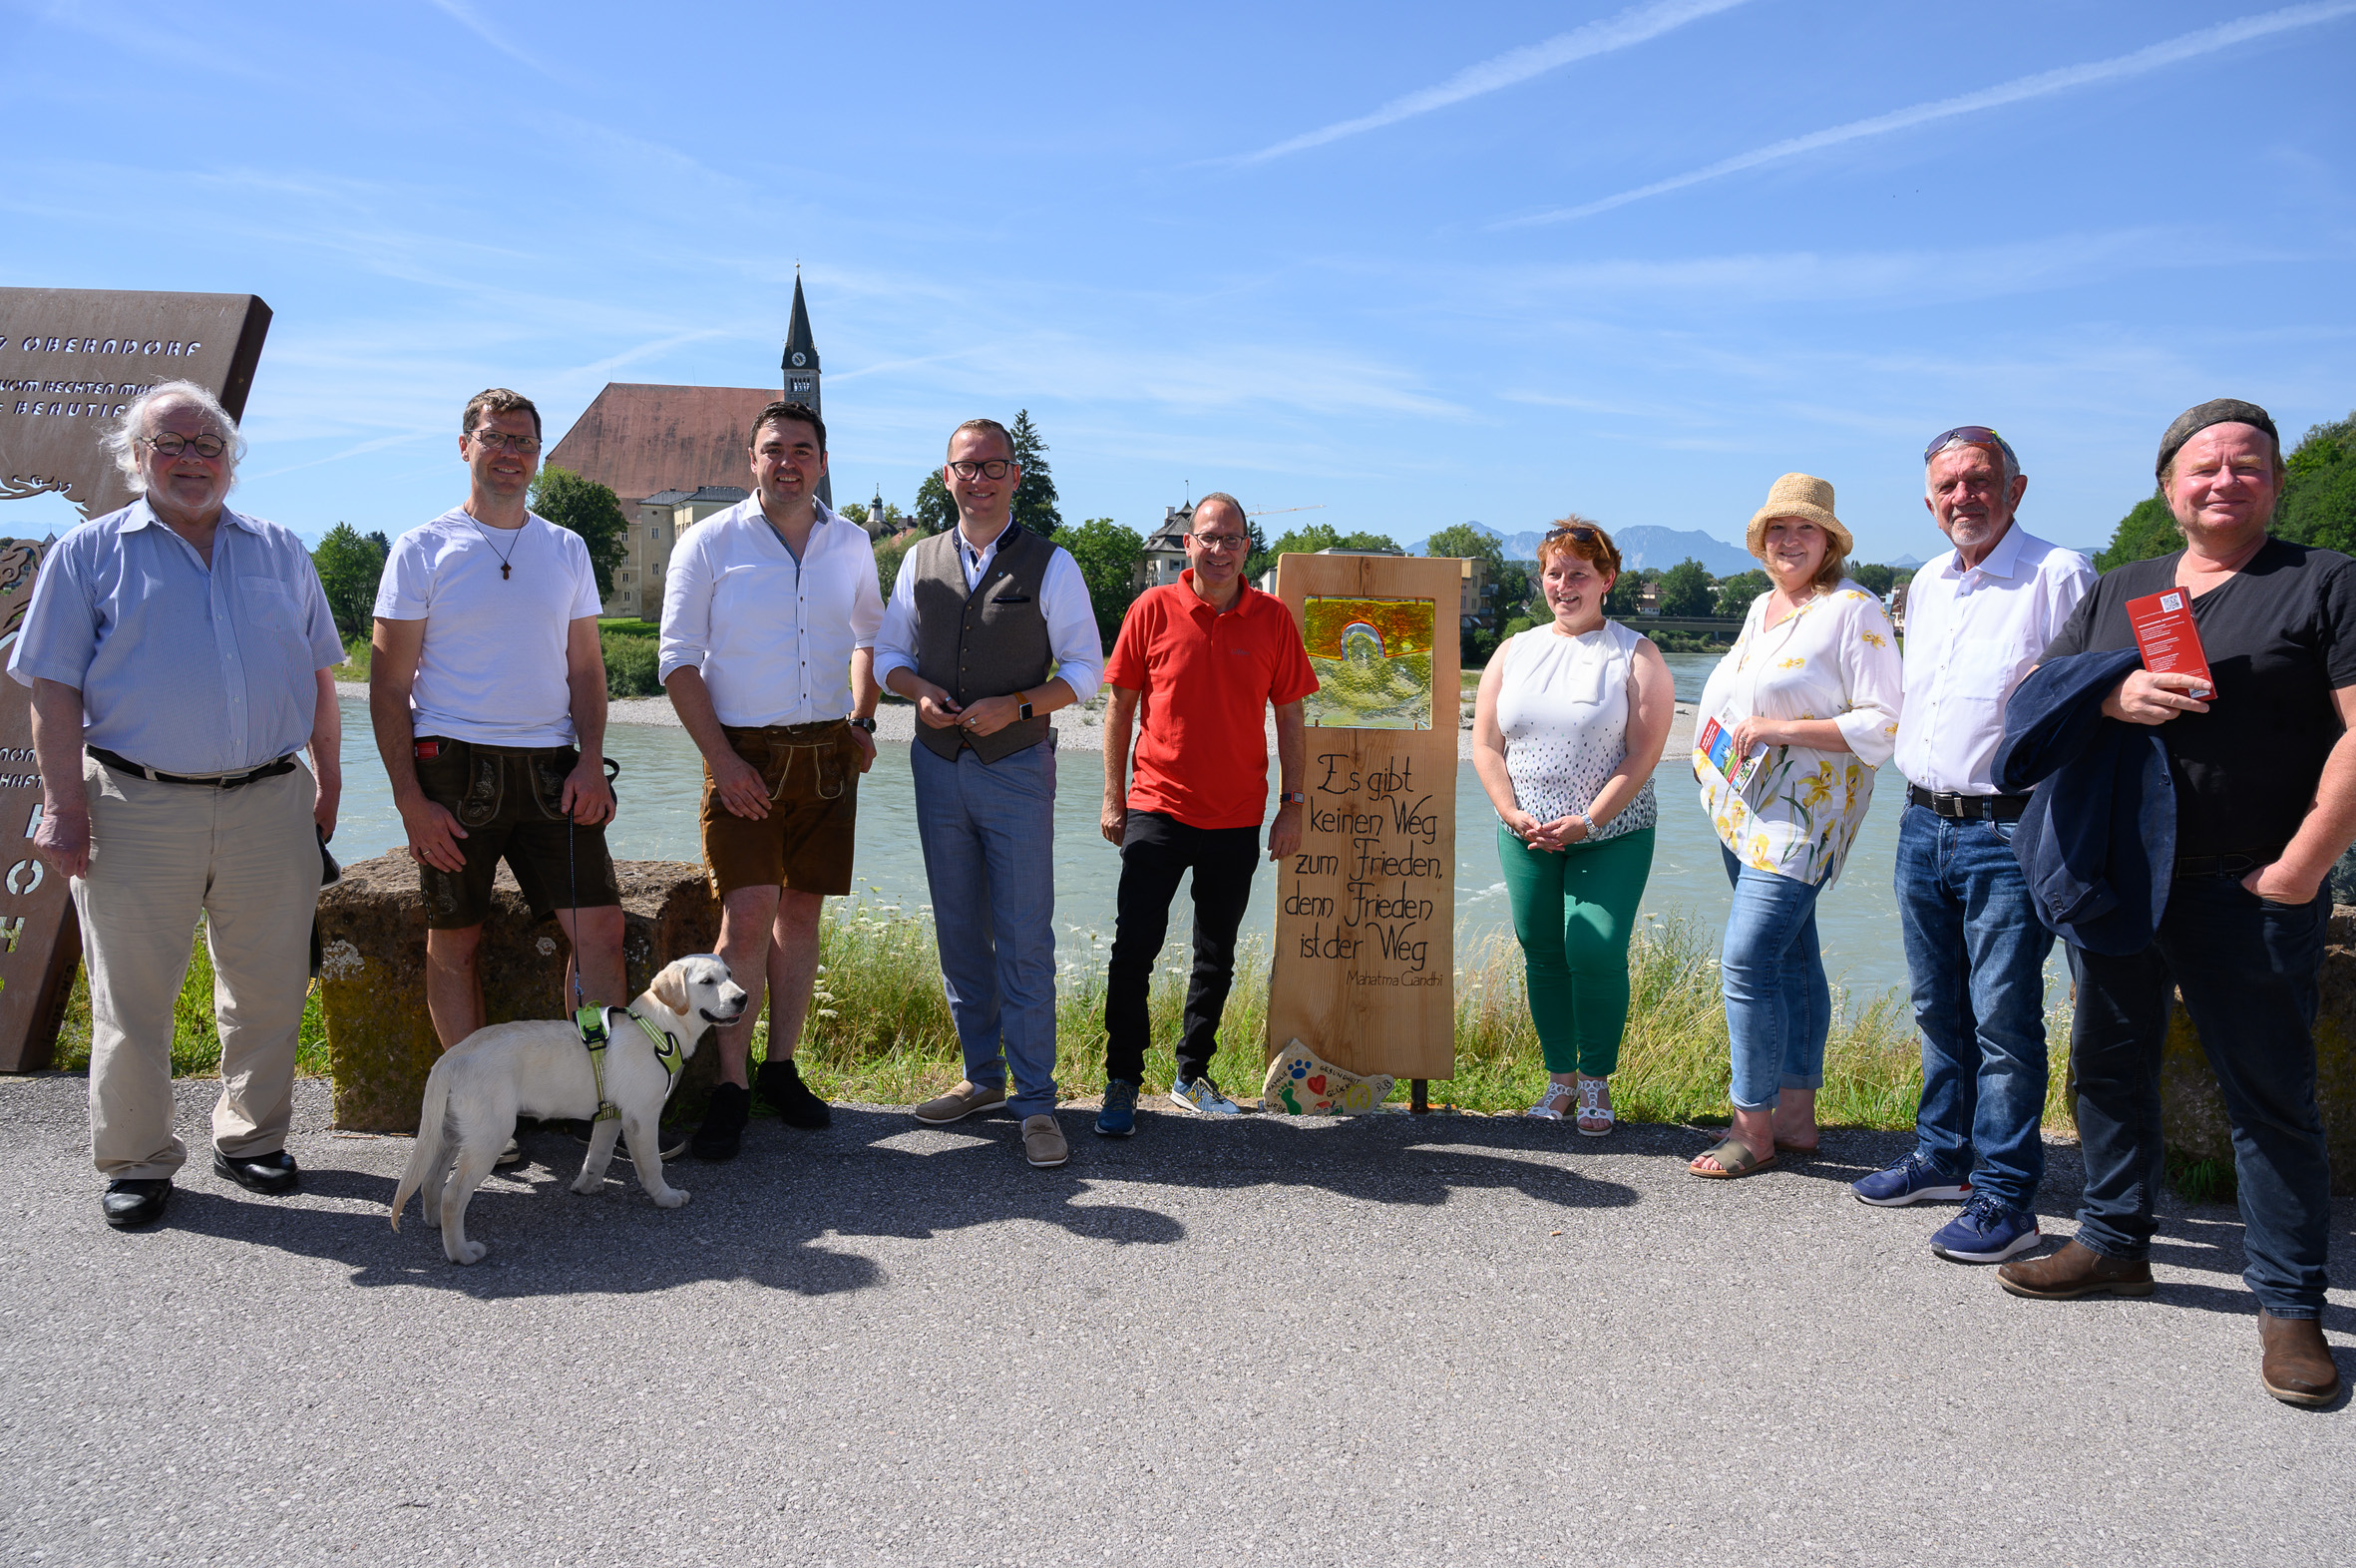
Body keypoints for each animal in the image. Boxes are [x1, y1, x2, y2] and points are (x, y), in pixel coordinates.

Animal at [391, 951, 749, 1262]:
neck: (658, 1028)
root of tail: (452, 1057)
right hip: (488, 1135)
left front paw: (587, 1186)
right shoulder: (641, 1118)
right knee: (453, 1194)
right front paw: (665, 1197)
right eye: (707, 981)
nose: (743, 998)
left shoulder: (611, 1117)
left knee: (432, 1181)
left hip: (451, 1133)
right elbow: (651, 1166)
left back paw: (435, 1224)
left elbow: (598, 1156)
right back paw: (461, 1253)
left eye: (731, 975)